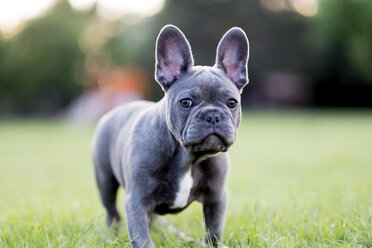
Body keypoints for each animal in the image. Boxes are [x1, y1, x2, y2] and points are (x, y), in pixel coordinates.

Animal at [92, 23, 250, 248]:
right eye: (186, 103)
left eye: (231, 103)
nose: (212, 116)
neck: (188, 158)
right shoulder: (137, 200)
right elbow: (142, 238)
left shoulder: (216, 197)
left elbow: (214, 230)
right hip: (105, 181)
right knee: (112, 213)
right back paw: (111, 236)